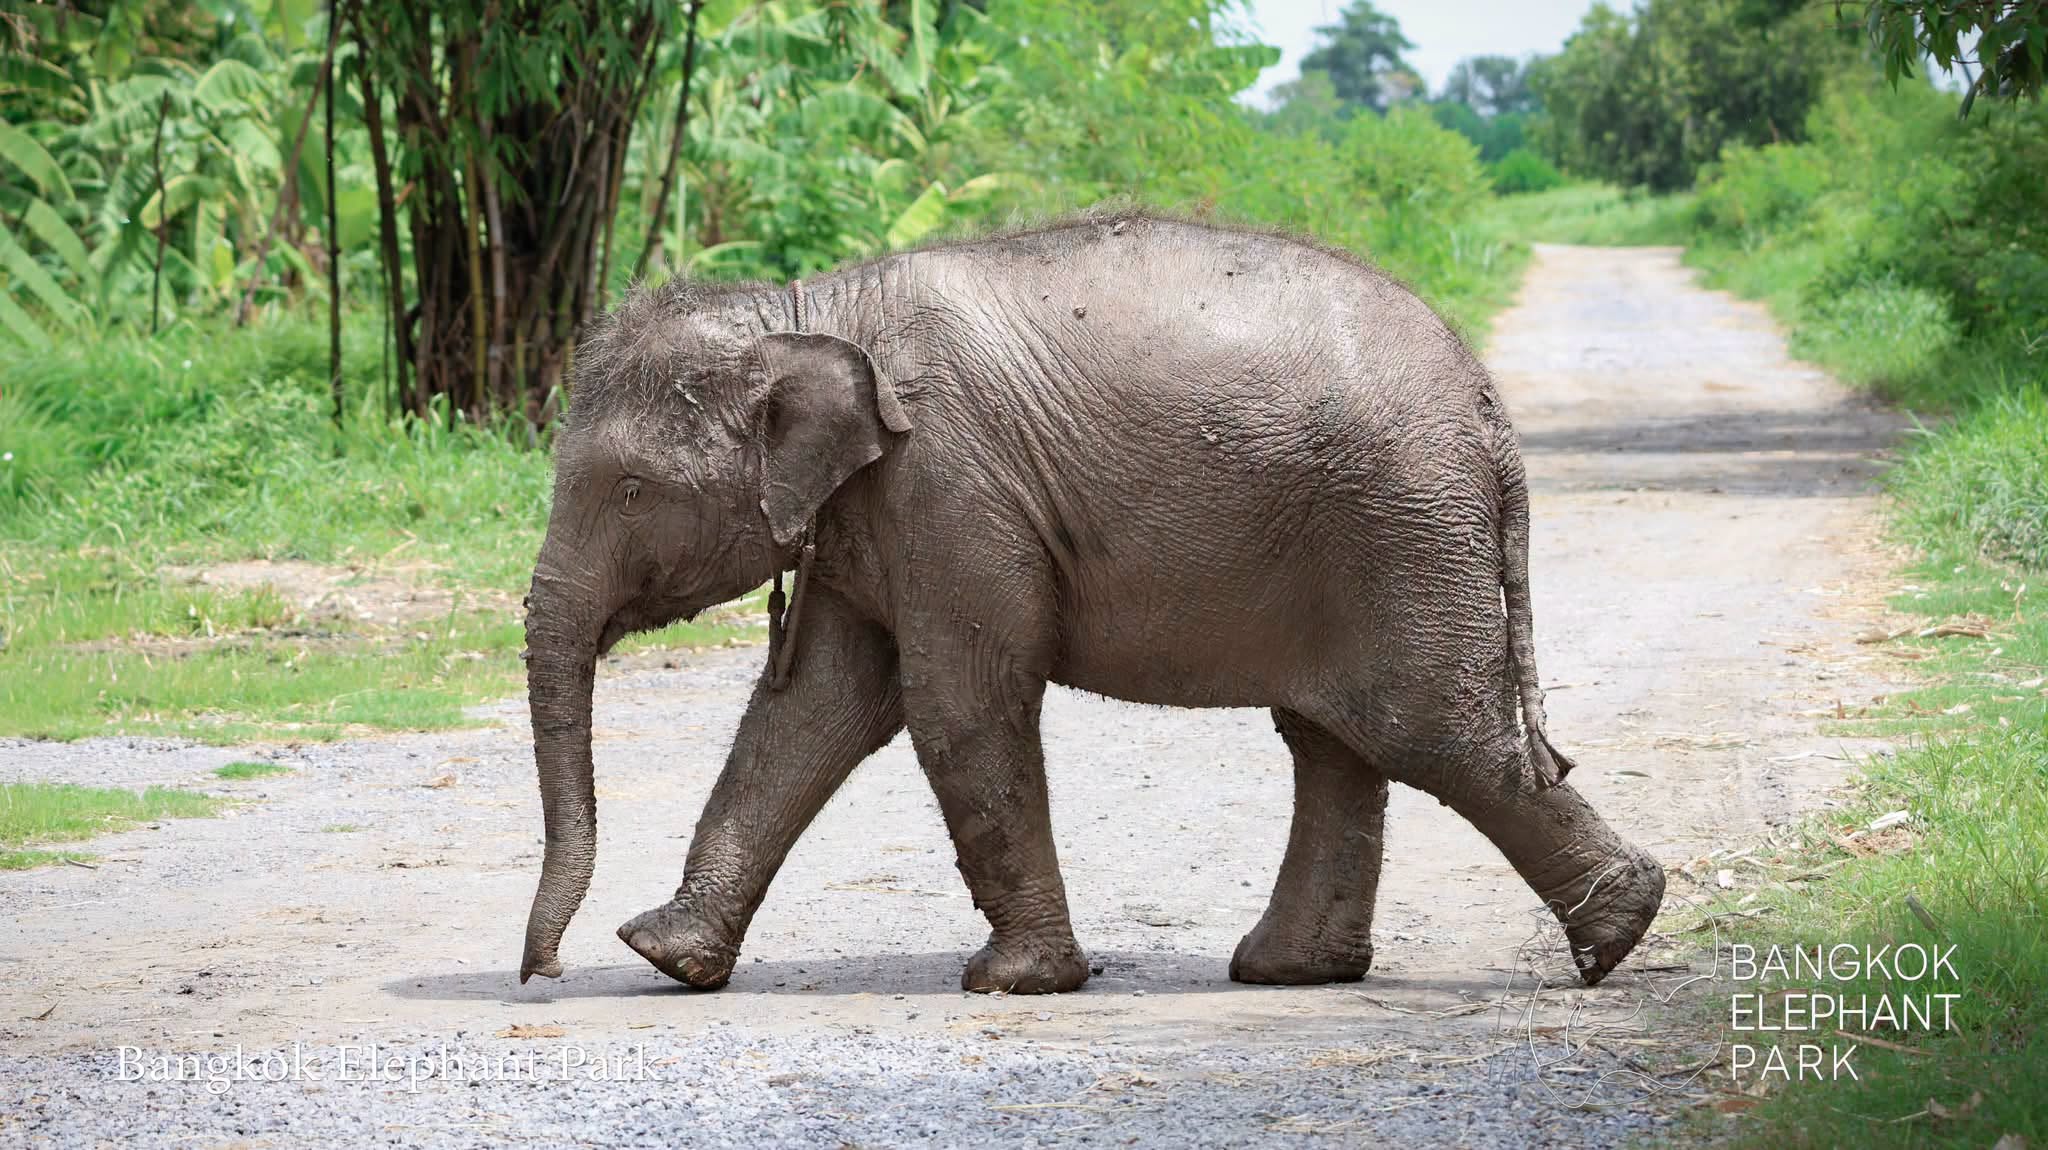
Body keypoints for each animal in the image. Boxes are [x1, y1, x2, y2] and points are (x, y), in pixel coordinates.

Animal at [517, 213, 1666, 995]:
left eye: (630, 489)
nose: (544, 972)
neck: (805, 312)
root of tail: (1489, 410)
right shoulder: (871, 512)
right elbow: (814, 710)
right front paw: (663, 953)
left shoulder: (948, 486)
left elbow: (955, 705)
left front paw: (1013, 982)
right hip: (1379, 537)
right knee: (1335, 738)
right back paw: (1291, 970)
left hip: (1403, 527)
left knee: (1429, 732)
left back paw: (1618, 932)